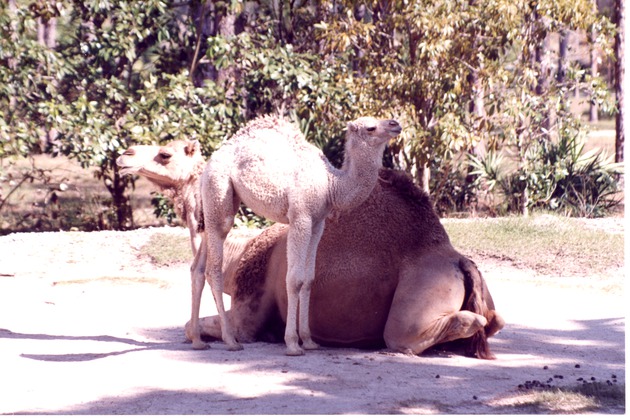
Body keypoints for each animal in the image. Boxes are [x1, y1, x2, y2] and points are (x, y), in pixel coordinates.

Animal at [190, 114, 402, 354]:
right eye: (371, 127)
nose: (395, 124)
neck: (331, 185)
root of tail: (208, 164)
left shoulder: (318, 223)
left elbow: (309, 279)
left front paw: (309, 341)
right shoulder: (300, 217)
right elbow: (294, 279)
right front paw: (292, 343)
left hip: (214, 204)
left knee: (197, 267)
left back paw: (198, 341)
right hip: (219, 189)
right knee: (214, 266)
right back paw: (231, 341)